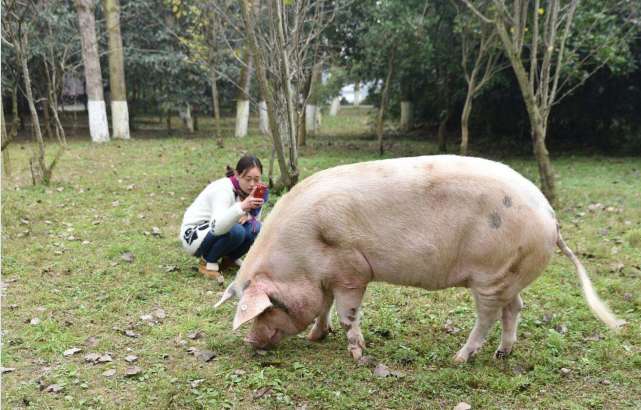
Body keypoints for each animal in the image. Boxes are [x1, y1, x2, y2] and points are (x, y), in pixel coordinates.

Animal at [214, 156, 620, 362]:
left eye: (267, 307)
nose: (250, 342)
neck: (301, 258)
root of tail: (551, 216)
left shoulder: (351, 271)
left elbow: (347, 315)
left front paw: (357, 354)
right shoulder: (326, 278)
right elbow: (322, 307)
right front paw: (316, 338)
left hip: (489, 278)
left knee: (487, 318)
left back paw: (459, 358)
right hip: (508, 275)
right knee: (515, 308)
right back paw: (502, 354)